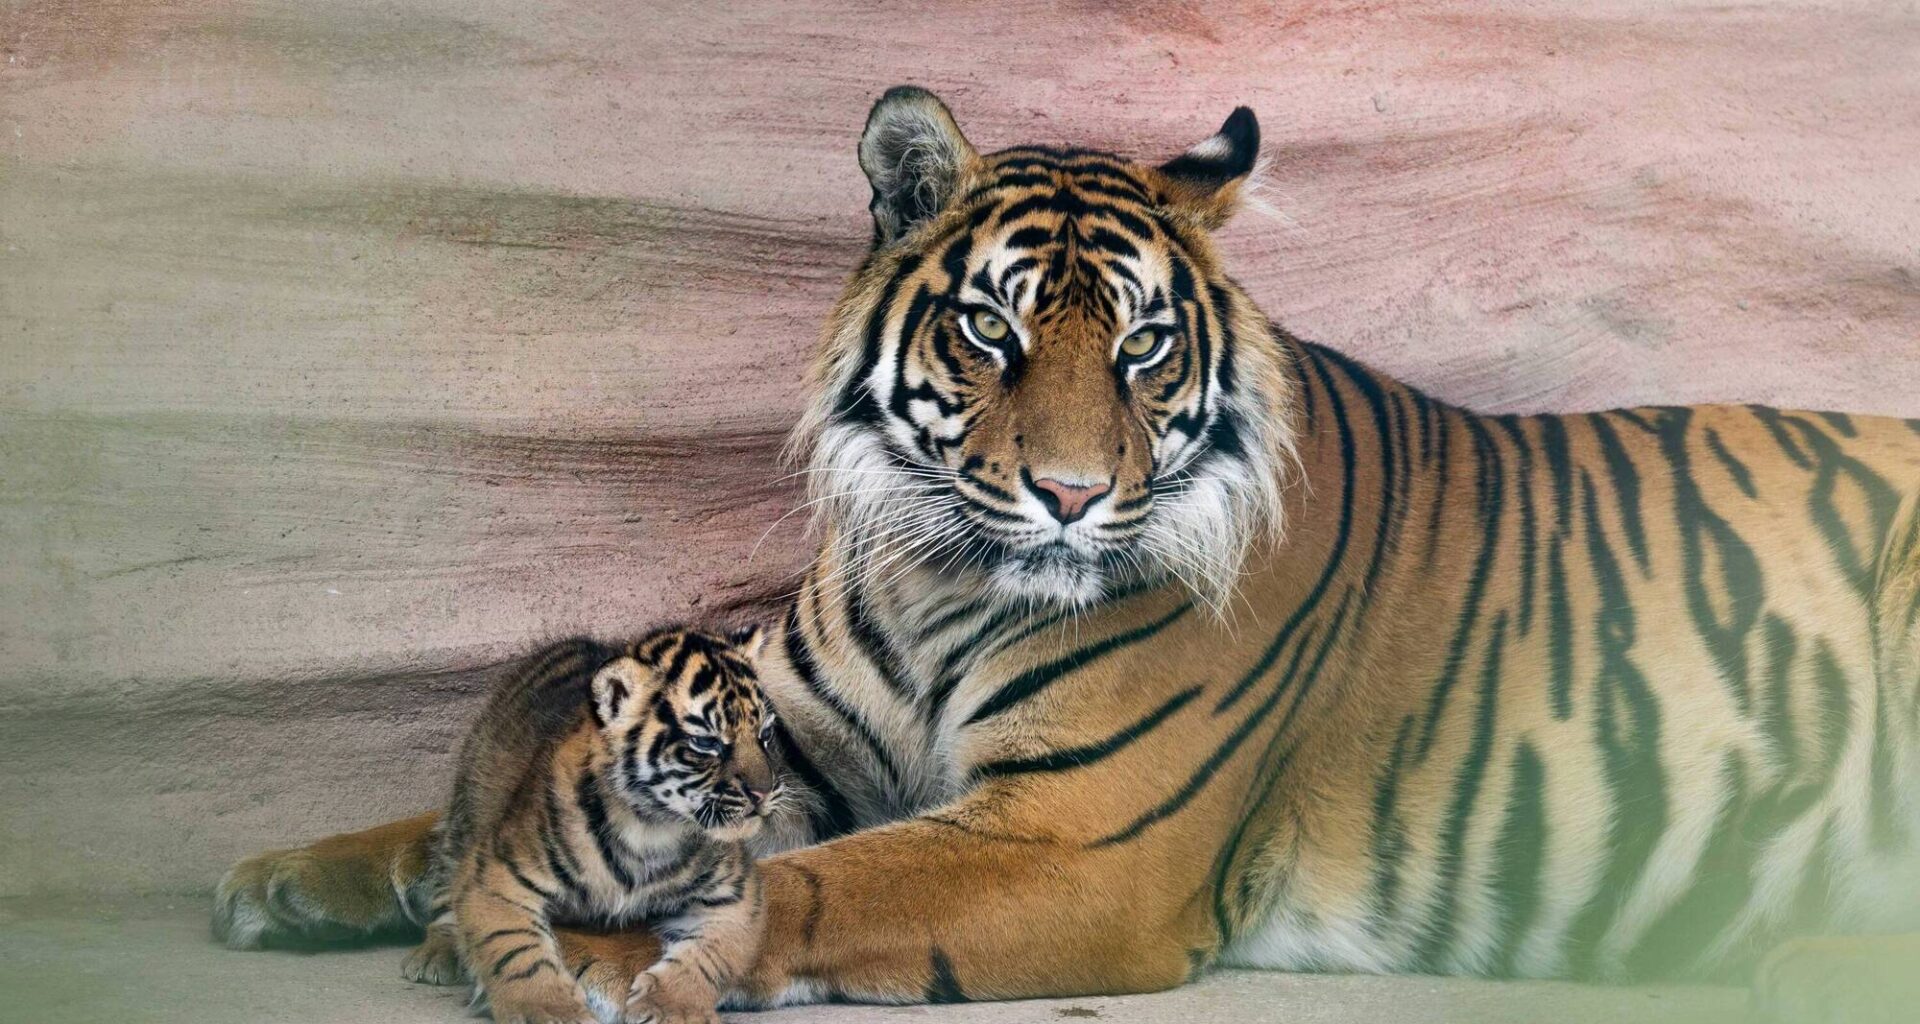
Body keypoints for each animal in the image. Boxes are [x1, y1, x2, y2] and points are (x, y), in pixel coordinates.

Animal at [380, 627, 781, 1024]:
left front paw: (674, 1008)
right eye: (705, 742)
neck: (651, 826)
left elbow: (711, 954)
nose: (763, 792)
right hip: (468, 814)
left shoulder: (737, 891)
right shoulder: (498, 874)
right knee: (447, 894)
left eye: (765, 735)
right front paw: (548, 1011)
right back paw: (435, 955)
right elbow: (516, 949)